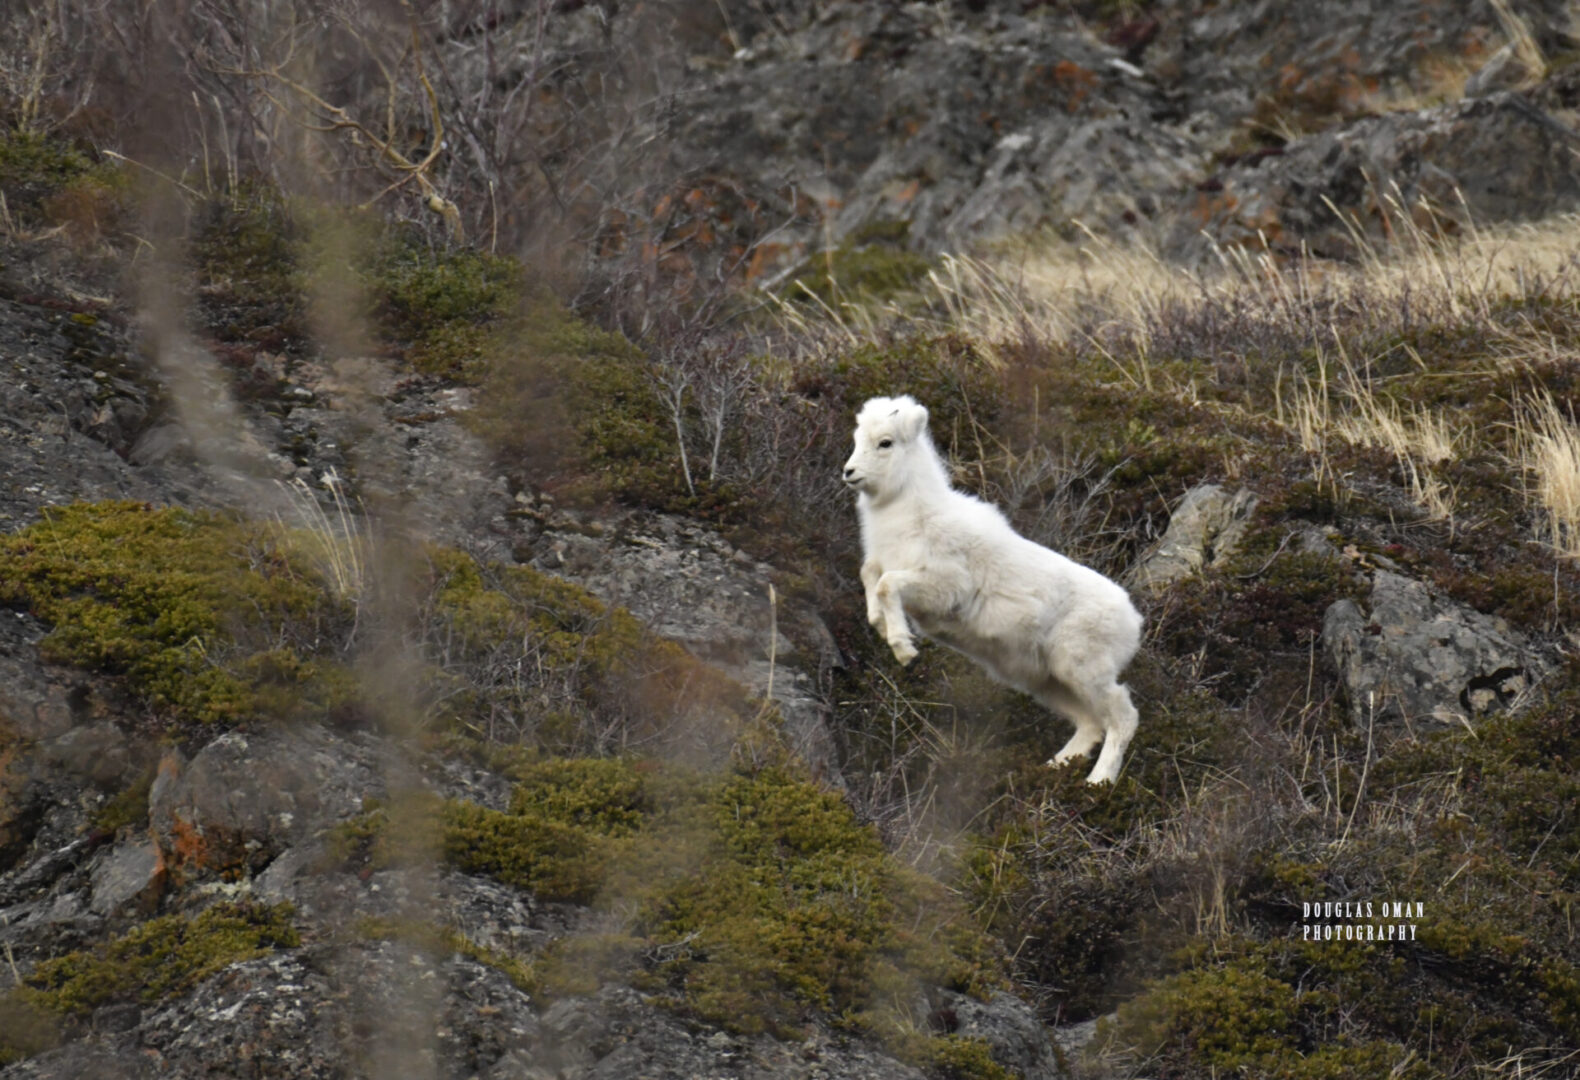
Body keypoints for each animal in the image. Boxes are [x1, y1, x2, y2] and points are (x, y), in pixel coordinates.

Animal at [846, 396, 1143, 783]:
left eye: (885, 443)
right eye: (856, 439)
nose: (849, 472)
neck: (912, 513)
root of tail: (1134, 622)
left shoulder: (941, 586)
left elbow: (885, 585)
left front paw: (904, 650)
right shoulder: (884, 566)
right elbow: (870, 577)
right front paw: (881, 627)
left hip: (1083, 669)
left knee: (1122, 717)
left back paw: (1098, 782)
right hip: (1047, 681)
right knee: (1091, 723)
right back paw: (1052, 769)